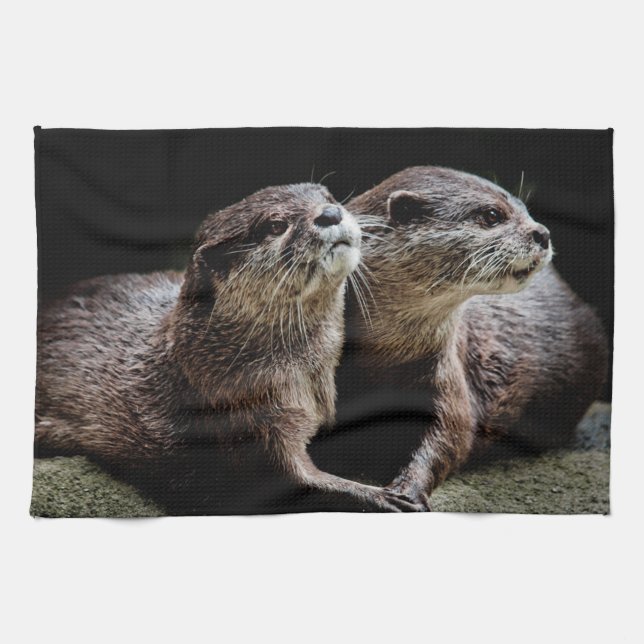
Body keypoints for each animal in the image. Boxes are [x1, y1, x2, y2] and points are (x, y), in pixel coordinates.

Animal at [35, 183, 421, 514]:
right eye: (275, 225)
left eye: (329, 197)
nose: (330, 213)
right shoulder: (250, 422)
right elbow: (291, 481)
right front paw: (382, 496)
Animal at [310, 166, 608, 508]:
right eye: (492, 215)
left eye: (525, 209)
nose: (542, 233)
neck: (380, 360)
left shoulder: (447, 373)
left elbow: (451, 436)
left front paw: (407, 490)